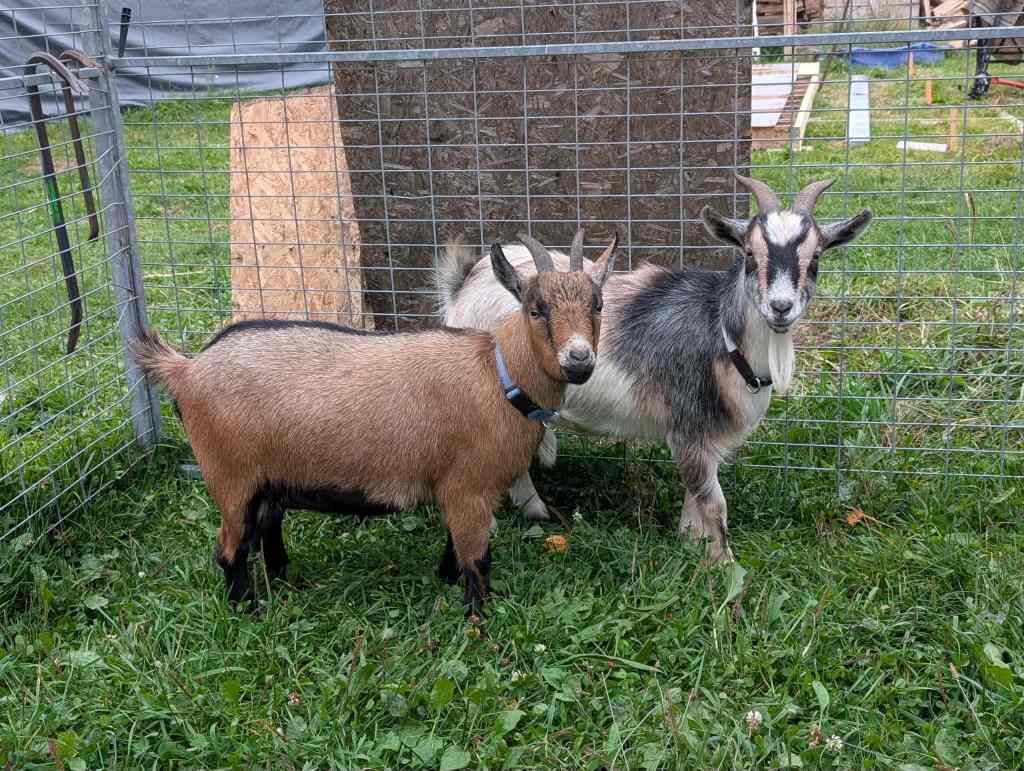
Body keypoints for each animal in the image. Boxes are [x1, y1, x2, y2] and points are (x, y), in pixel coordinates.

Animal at [132, 232, 617, 619]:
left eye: (597, 305)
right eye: (536, 309)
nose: (578, 360)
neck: (496, 373)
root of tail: (186, 369)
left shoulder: (451, 484)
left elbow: (453, 544)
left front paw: (443, 579)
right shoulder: (470, 488)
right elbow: (477, 558)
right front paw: (476, 620)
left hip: (268, 479)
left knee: (267, 528)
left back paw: (286, 580)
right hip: (230, 478)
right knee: (229, 549)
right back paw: (246, 610)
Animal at [439, 175, 872, 563]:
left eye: (816, 258)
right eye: (749, 253)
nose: (781, 307)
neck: (721, 333)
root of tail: (464, 285)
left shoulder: (703, 437)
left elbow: (695, 500)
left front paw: (691, 543)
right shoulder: (686, 426)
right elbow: (714, 504)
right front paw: (725, 568)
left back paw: (535, 511)